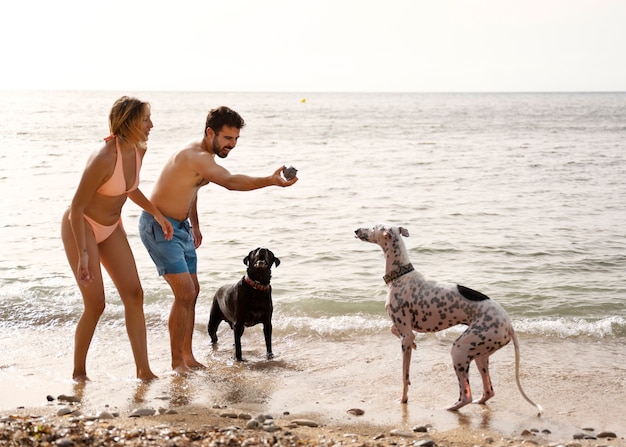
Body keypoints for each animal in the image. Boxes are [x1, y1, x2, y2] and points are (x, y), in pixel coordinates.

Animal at [354, 226, 540, 414]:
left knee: (466, 395)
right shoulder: (406, 331)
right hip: (480, 354)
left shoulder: (405, 336)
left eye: (373, 227)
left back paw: (451, 407)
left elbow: (404, 375)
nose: (356, 230)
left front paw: (403, 399)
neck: (401, 275)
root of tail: (509, 324)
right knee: (488, 391)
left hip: (459, 350)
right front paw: (414, 344)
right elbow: (395, 330)